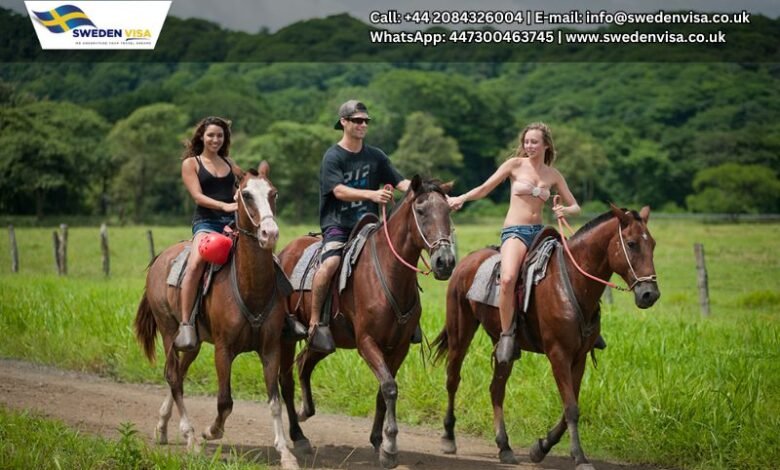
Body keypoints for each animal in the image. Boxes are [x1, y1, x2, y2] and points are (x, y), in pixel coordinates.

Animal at [134, 162, 298, 470]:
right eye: (245, 194)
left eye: (273, 193)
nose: (269, 233)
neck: (249, 286)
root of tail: (161, 258)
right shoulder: (223, 350)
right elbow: (224, 401)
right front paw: (210, 431)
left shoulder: (270, 349)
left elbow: (274, 401)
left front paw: (285, 452)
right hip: (169, 332)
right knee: (173, 377)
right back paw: (190, 437)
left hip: (193, 344)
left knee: (179, 374)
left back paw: (162, 427)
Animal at [278, 177, 458, 470]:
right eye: (421, 211)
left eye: (448, 211)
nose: (445, 262)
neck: (389, 273)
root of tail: (284, 253)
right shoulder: (367, 343)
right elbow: (390, 388)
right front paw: (390, 448)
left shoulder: (398, 348)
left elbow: (384, 391)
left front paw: (378, 442)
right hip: (286, 337)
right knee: (286, 379)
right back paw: (298, 435)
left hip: (324, 343)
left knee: (305, 365)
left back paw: (307, 412)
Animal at [432, 204, 660, 468]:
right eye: (631, 244)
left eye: (653, 244)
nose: (650, 294)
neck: (572, 280)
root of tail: (466, 261)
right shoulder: (558, 354)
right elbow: (571, 408)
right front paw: (579, 457)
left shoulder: (579, 358)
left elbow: (570, 406)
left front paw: (540, 447)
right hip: (460, 333)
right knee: (453, 379)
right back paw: (448, 437)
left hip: (503, 347)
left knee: (496, 389)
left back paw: (504, 446)